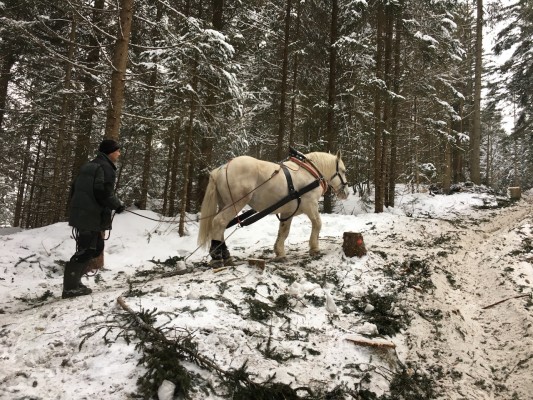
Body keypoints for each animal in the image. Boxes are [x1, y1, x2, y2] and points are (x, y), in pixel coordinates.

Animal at [195, 150, 350, 266]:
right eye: (343, 171)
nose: (346, 193)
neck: (309, 172)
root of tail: (222, 168)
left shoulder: (287, 211)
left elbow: (283, 232)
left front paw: (280, 253)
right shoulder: (310, 205)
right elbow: (317, 224)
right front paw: (314, 248)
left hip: (224, 204)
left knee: (220, 226)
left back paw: (225, 254)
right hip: (235, 203)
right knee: (219, 222)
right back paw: (217, 256)